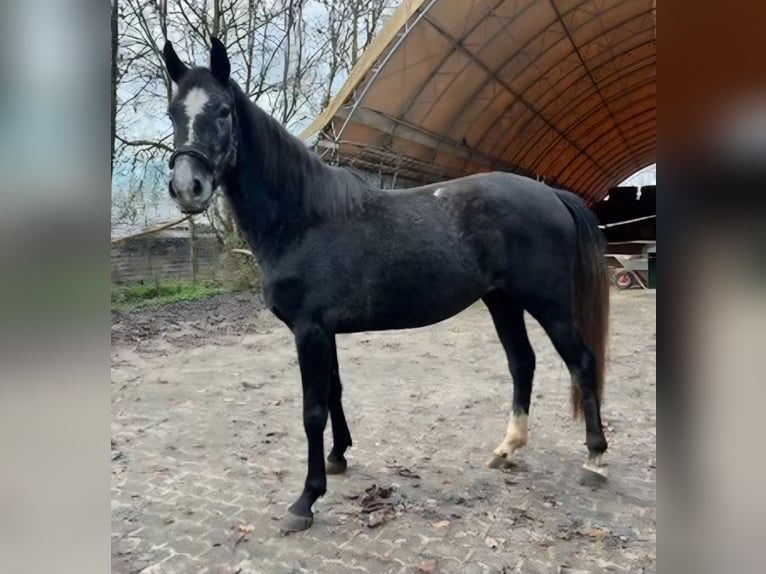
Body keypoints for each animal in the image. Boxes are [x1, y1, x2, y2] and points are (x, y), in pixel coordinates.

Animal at [161, 37, 610, 533]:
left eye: (223, 111)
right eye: (172, 112)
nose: (188, 187)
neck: (303, 219)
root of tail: (550, 194)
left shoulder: (310, 331)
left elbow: (312, 410)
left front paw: (305, 500)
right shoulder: (324, 331)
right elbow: (334, 392)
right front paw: (338, 458)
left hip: (550, 304)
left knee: (581, 363)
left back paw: (594, 460)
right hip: (503, 301)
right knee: (522, 363)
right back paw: (507, 449)